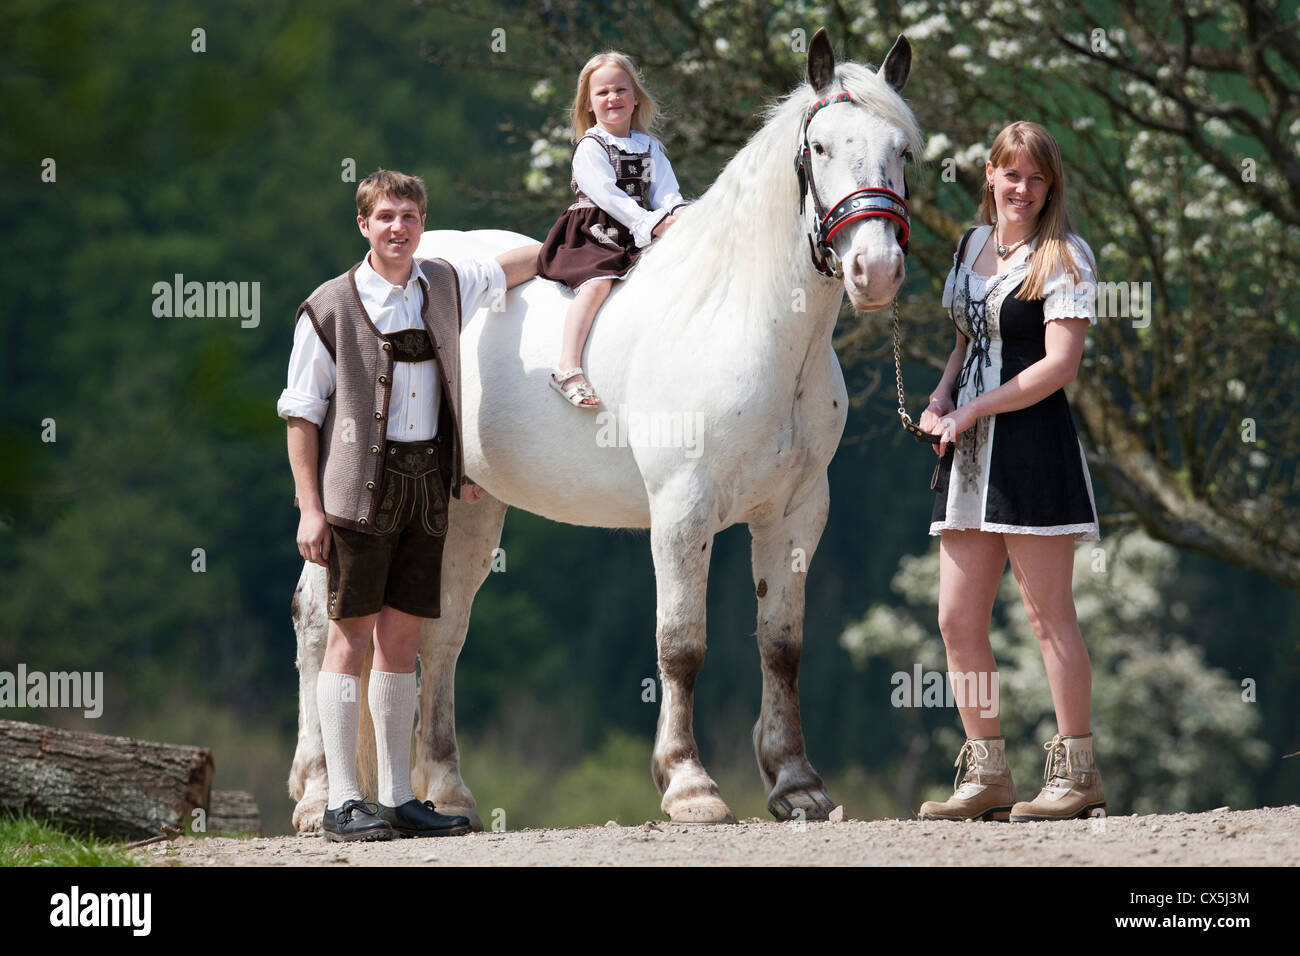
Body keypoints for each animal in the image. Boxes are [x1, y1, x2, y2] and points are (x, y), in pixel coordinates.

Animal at [292, 27, 925, 822]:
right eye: (819, 148)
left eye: (902, 152)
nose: (877, 270)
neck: (744, 323)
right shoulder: (683, 511)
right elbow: (681, 645)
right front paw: (689, 785)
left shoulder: (797, 512)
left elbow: (782, 645)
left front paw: (796, 783)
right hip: (348, 515)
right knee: (321, 626)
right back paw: (319, 794)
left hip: (466, 512)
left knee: (440, 634)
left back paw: (448, 791)